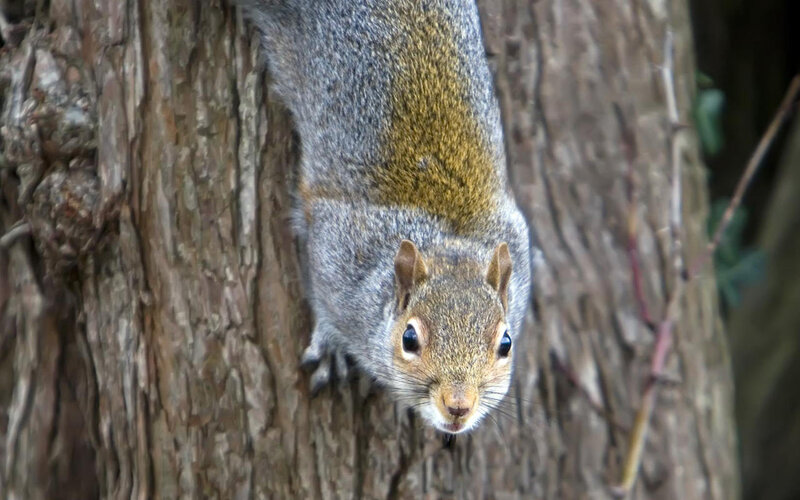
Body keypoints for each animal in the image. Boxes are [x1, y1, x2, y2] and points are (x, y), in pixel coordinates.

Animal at [237, 0, 532, 434]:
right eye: (409, 339)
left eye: (505, 344)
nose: (458, 406)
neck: (447, 239)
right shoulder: (336, 250)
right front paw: (331, 343)